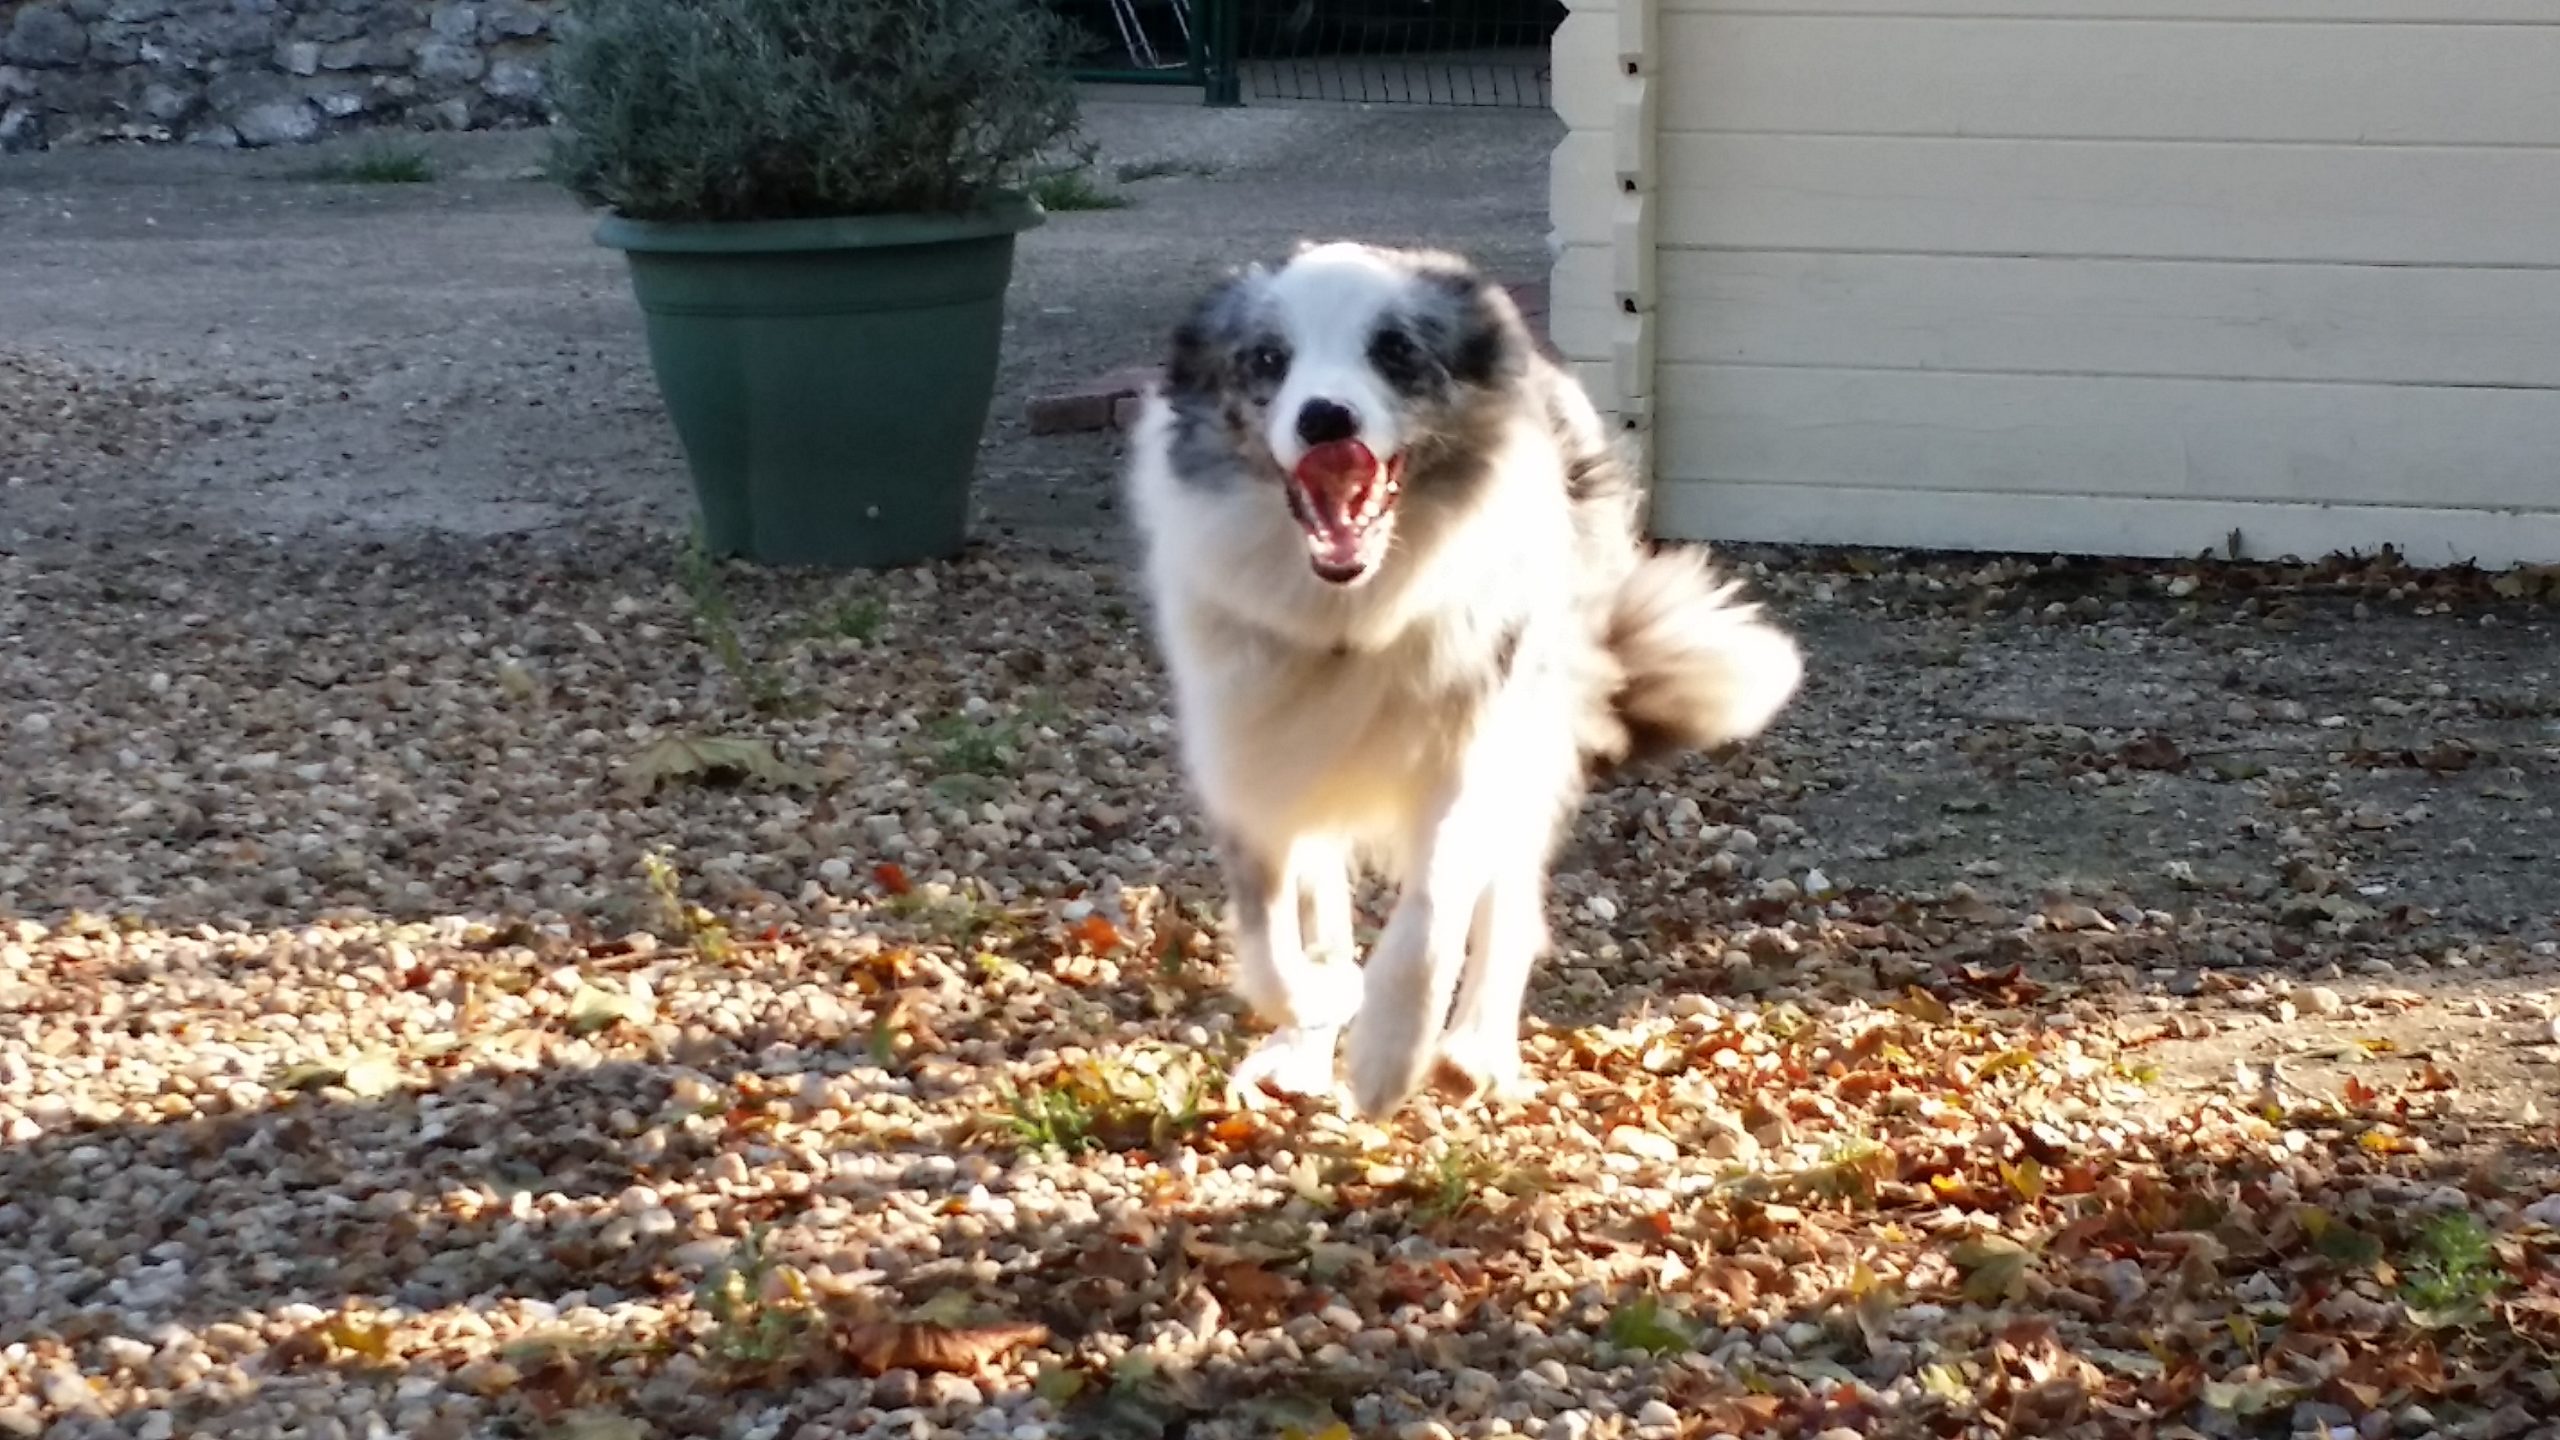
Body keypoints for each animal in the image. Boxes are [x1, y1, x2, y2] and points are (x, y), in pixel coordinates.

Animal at [1122, 241, 1804, 1121]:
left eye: (1395, 350)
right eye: (1268, 359)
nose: (1326, 420)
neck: (1351, 619)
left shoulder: (1476, 747)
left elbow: (1434, 911)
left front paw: (1389, 1051)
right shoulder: (1256, 761)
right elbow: (1273, 940)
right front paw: (1320, 1003)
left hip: (1536, 728)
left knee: (1508, 904)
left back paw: (1473, 1049)